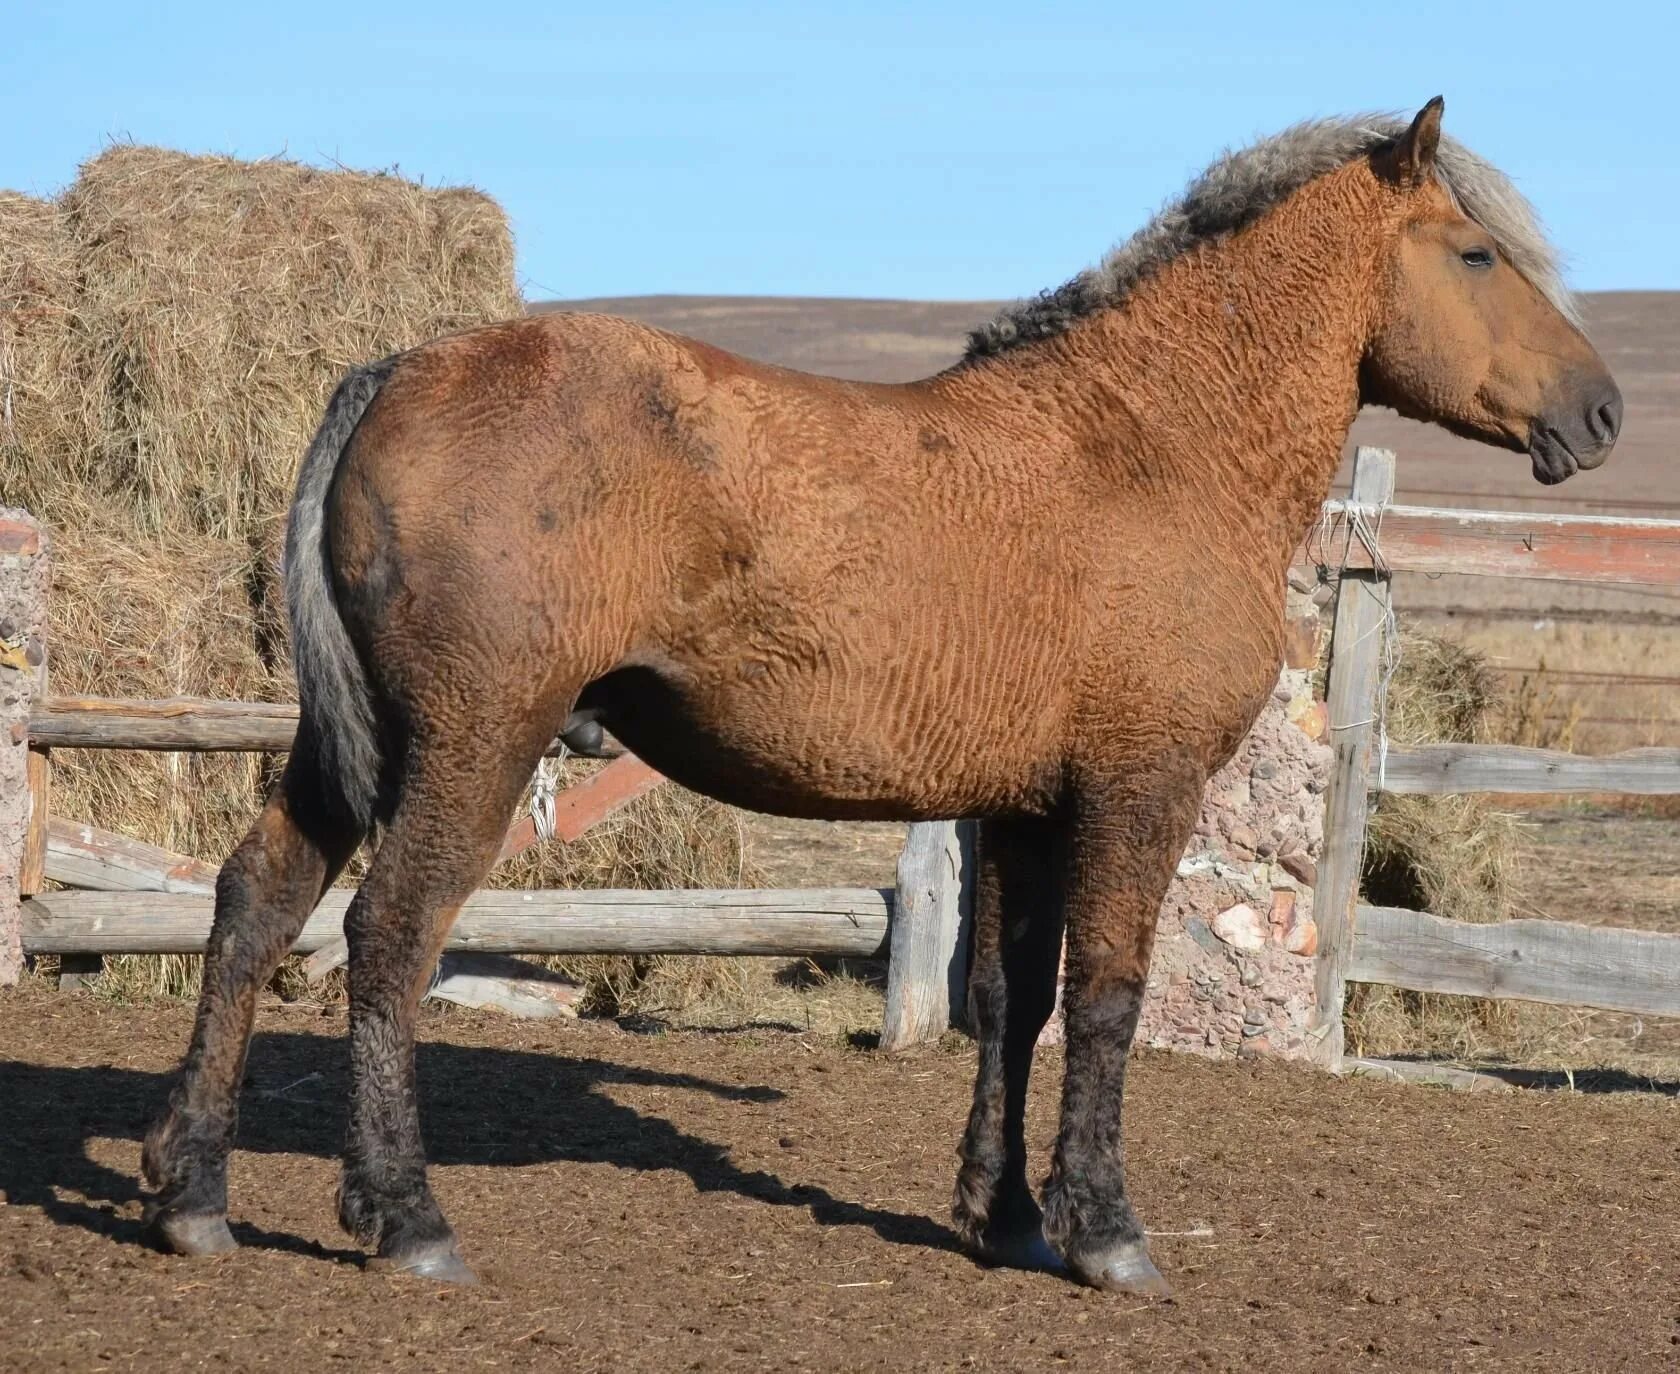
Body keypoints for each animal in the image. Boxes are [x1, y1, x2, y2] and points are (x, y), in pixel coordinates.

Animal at [141, 101, 1612, 1290]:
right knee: (389, 934)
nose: (1600, 411)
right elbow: (1112, 996)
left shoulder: (1025, 809)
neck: (1147, 450)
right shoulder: (1138, 791)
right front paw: (1104, 1233)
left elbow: (1015, 1002)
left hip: (353, 751)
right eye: (1476, 255)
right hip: (470, 746)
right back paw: (404, 1215)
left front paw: (1004, 1218)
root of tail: (396, 371)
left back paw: (190, 1190)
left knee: (256, 902)